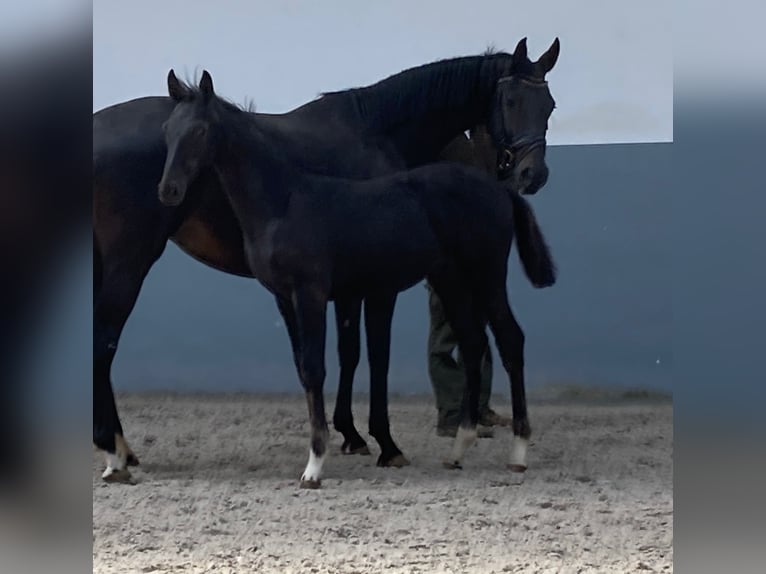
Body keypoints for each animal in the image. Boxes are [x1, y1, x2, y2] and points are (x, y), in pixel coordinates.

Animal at [96, 38, 564, 482]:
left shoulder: (347, 286)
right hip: (128, 261)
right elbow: (370, 355)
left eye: (550, 105)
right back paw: (114, 452)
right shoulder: (370, 287)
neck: (377, 131)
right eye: (510, 101)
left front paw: (353, 435)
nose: (532, 175)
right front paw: (379, 441)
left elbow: (347, 353)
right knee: (104, 343)